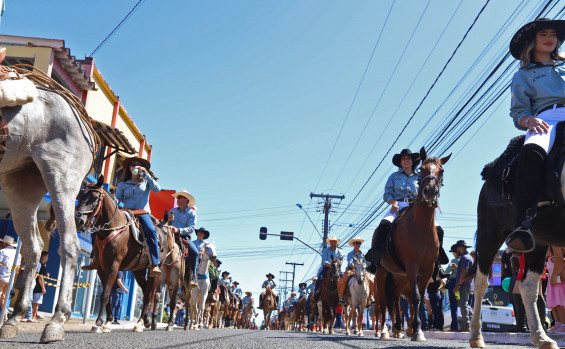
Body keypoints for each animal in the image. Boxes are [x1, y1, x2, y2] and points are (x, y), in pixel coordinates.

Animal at [0, 83, 99, 340]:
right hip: (20, 184)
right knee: (33, 248)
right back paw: (14, 318)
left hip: (61, 176)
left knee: (70, 245)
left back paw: (56, 320)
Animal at [70, 177, 170, 332]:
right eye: (80, 196)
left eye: (95, 198)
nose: (78, 220)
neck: (112, 228)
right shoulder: (101, 268)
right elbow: (108, 295)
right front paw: (109, 320)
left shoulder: (114, 266)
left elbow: (105, 294)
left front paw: (99, 321)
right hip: (138, 271)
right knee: (146, 290)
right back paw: (145, 320)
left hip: (155, 270)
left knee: (150, 294)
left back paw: (141, 322)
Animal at [374, 146, 450, 340]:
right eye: (422, 169)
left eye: (441, 171)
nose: (430, 192)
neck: (420, 228)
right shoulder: (412, 265)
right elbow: (415, 297)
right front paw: (417, 331)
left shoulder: (428, 268)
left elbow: (420, 298)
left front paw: (416, 329)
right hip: (383, 273)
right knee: (383, 301)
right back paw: (384, 331)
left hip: (400, 276)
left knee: (395, 296)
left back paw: (397, 328)